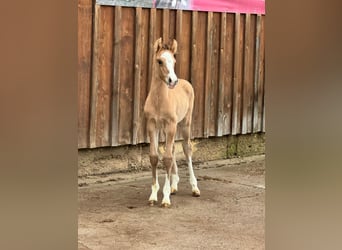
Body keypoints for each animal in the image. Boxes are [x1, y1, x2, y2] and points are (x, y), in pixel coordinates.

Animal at [142, 38, 200, 207]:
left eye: (174, 61)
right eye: (159, 61)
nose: (172, 81)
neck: (159, 100)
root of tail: (186, 82)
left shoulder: (171, 125)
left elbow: (167, 158)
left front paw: (165, 198)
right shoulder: (152, 125)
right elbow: (154, 156)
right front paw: (154, 195)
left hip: (184, 124)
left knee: (187, 149)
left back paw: (194, 188)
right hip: (166, 129)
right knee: (173, 149)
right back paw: (174, 185)